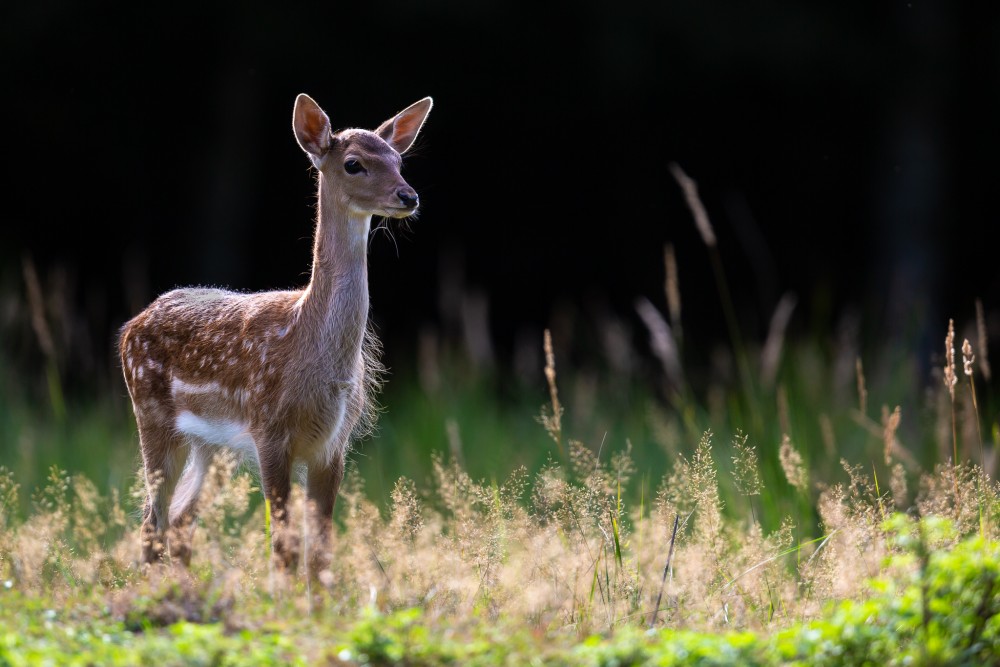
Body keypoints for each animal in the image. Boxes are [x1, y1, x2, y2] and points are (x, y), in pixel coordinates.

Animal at [117, 92, 430, 576]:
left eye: (399, 160)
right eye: (354, 164)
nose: (408, 195)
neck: (306, 340)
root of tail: (130, 327)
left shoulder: (333, 445)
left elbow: (320, 549)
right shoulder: (269, 430)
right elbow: (283, 547)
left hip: (214, 444)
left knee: (181, 519)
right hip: (150, 415)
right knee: (153, 522)